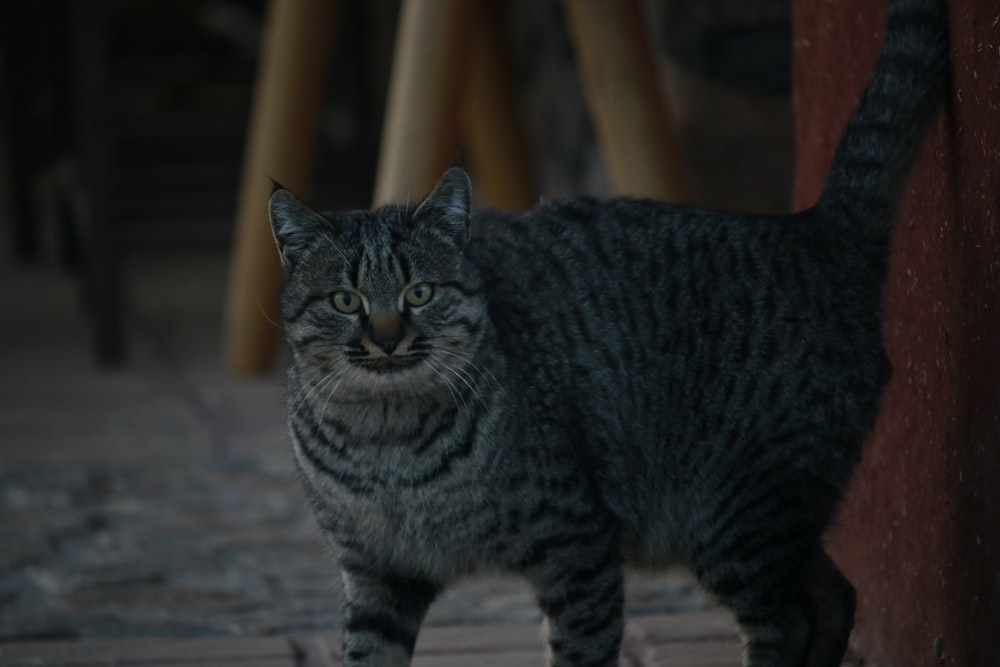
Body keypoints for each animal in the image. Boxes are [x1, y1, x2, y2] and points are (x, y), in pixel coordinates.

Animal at [270, 0, 948, 664]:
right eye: (345, 299)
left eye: (419, 293)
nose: (387, 338)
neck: (386, 444)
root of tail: (814, 228)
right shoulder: (377, 575)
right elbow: (367, 652)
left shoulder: (576, 545)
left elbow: (580, 651)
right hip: (771, 520)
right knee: (836, 596)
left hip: (735, 519)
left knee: (787, 623)